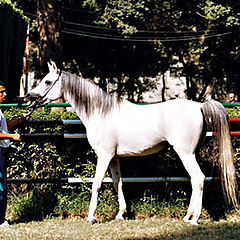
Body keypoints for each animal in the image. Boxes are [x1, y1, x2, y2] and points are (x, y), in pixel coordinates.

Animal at [24, 61, 238, 225]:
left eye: (47, 81)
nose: (28, 98)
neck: (101, 112)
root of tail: (199, 106)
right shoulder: (114, 158)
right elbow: (117, 182)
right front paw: (120, 214)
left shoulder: (104, 156)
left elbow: (97, 184)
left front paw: (91, 218)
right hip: (189, 154)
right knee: (194, 180)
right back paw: (188, 216)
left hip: (185, 153)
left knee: (198, 178)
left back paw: (193, 219)